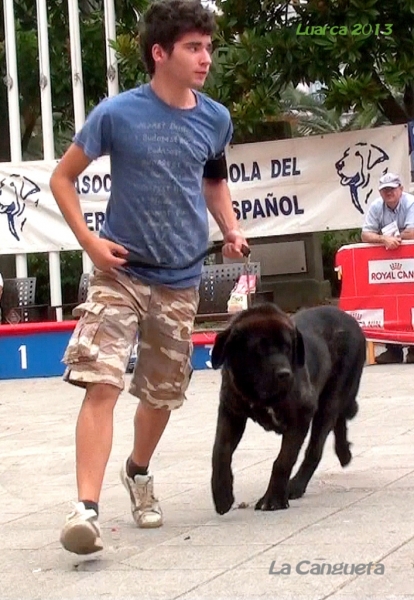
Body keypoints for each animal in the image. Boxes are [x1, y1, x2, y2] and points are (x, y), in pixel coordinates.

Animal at [210, 304, 366, 516]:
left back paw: (296, 485)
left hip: (330, 400)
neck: (259, 394)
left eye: (288, 347)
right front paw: (222, 494)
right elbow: (220, 451)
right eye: (259, 349)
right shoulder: (231, 412)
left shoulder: (300, 416)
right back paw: (344, 453)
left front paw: (273, 499)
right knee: (338, 419)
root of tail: (350, 320)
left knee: (315, 449)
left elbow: (283, 461)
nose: (285, 374)